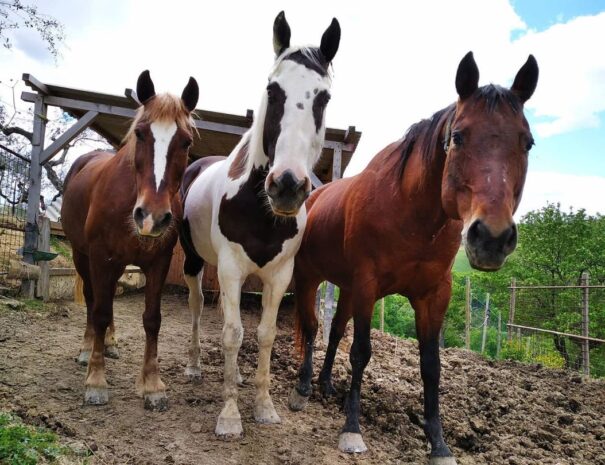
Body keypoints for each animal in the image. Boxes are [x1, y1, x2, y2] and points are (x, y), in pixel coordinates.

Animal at [62, 70, 198, 410]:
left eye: (186, 141)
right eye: (140, 134)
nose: (151, 217)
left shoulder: (158, 263)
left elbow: (152, 319)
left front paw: (152, 385)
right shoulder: (100, 258)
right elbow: (99, 311)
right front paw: (96, 380)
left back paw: (109, 344)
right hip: (82, 257)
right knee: (95, 302)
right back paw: (88, 350)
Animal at [179, 11, 340, 438]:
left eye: (324, 97)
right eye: (272, 89)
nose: (287, 185)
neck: (261, 209)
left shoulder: (280, 275)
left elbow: (265, 335)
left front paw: (264, 406)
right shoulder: (231, 268)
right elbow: (233, 334)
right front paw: (229, 414)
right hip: (193, 261)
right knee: (198, 306)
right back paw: (195, 366)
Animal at [288, 50, 536, 460]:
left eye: (527, 142)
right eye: (458, 136)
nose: (492, 237)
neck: (411, 212)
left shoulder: (432, 295)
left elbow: (431, 366)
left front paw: (439, 443)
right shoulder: (368, 285)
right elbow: (361, 352)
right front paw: (352, 428)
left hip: (346, 287)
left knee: (334, 331)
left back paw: (325, 384)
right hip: (310, 278)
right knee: (310, 328)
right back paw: (304, 387)